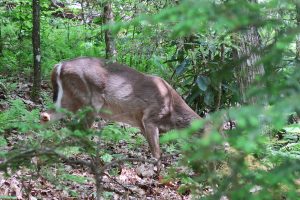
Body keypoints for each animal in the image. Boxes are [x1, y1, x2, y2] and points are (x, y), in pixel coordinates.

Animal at [39, 57, 203, 165]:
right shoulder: (150, 118)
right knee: (79, 129)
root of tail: (59, 65)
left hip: (68, 98)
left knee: (46, 116)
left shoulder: (140, 122)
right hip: (90, 99)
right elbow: (157, 153)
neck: (172, 112)